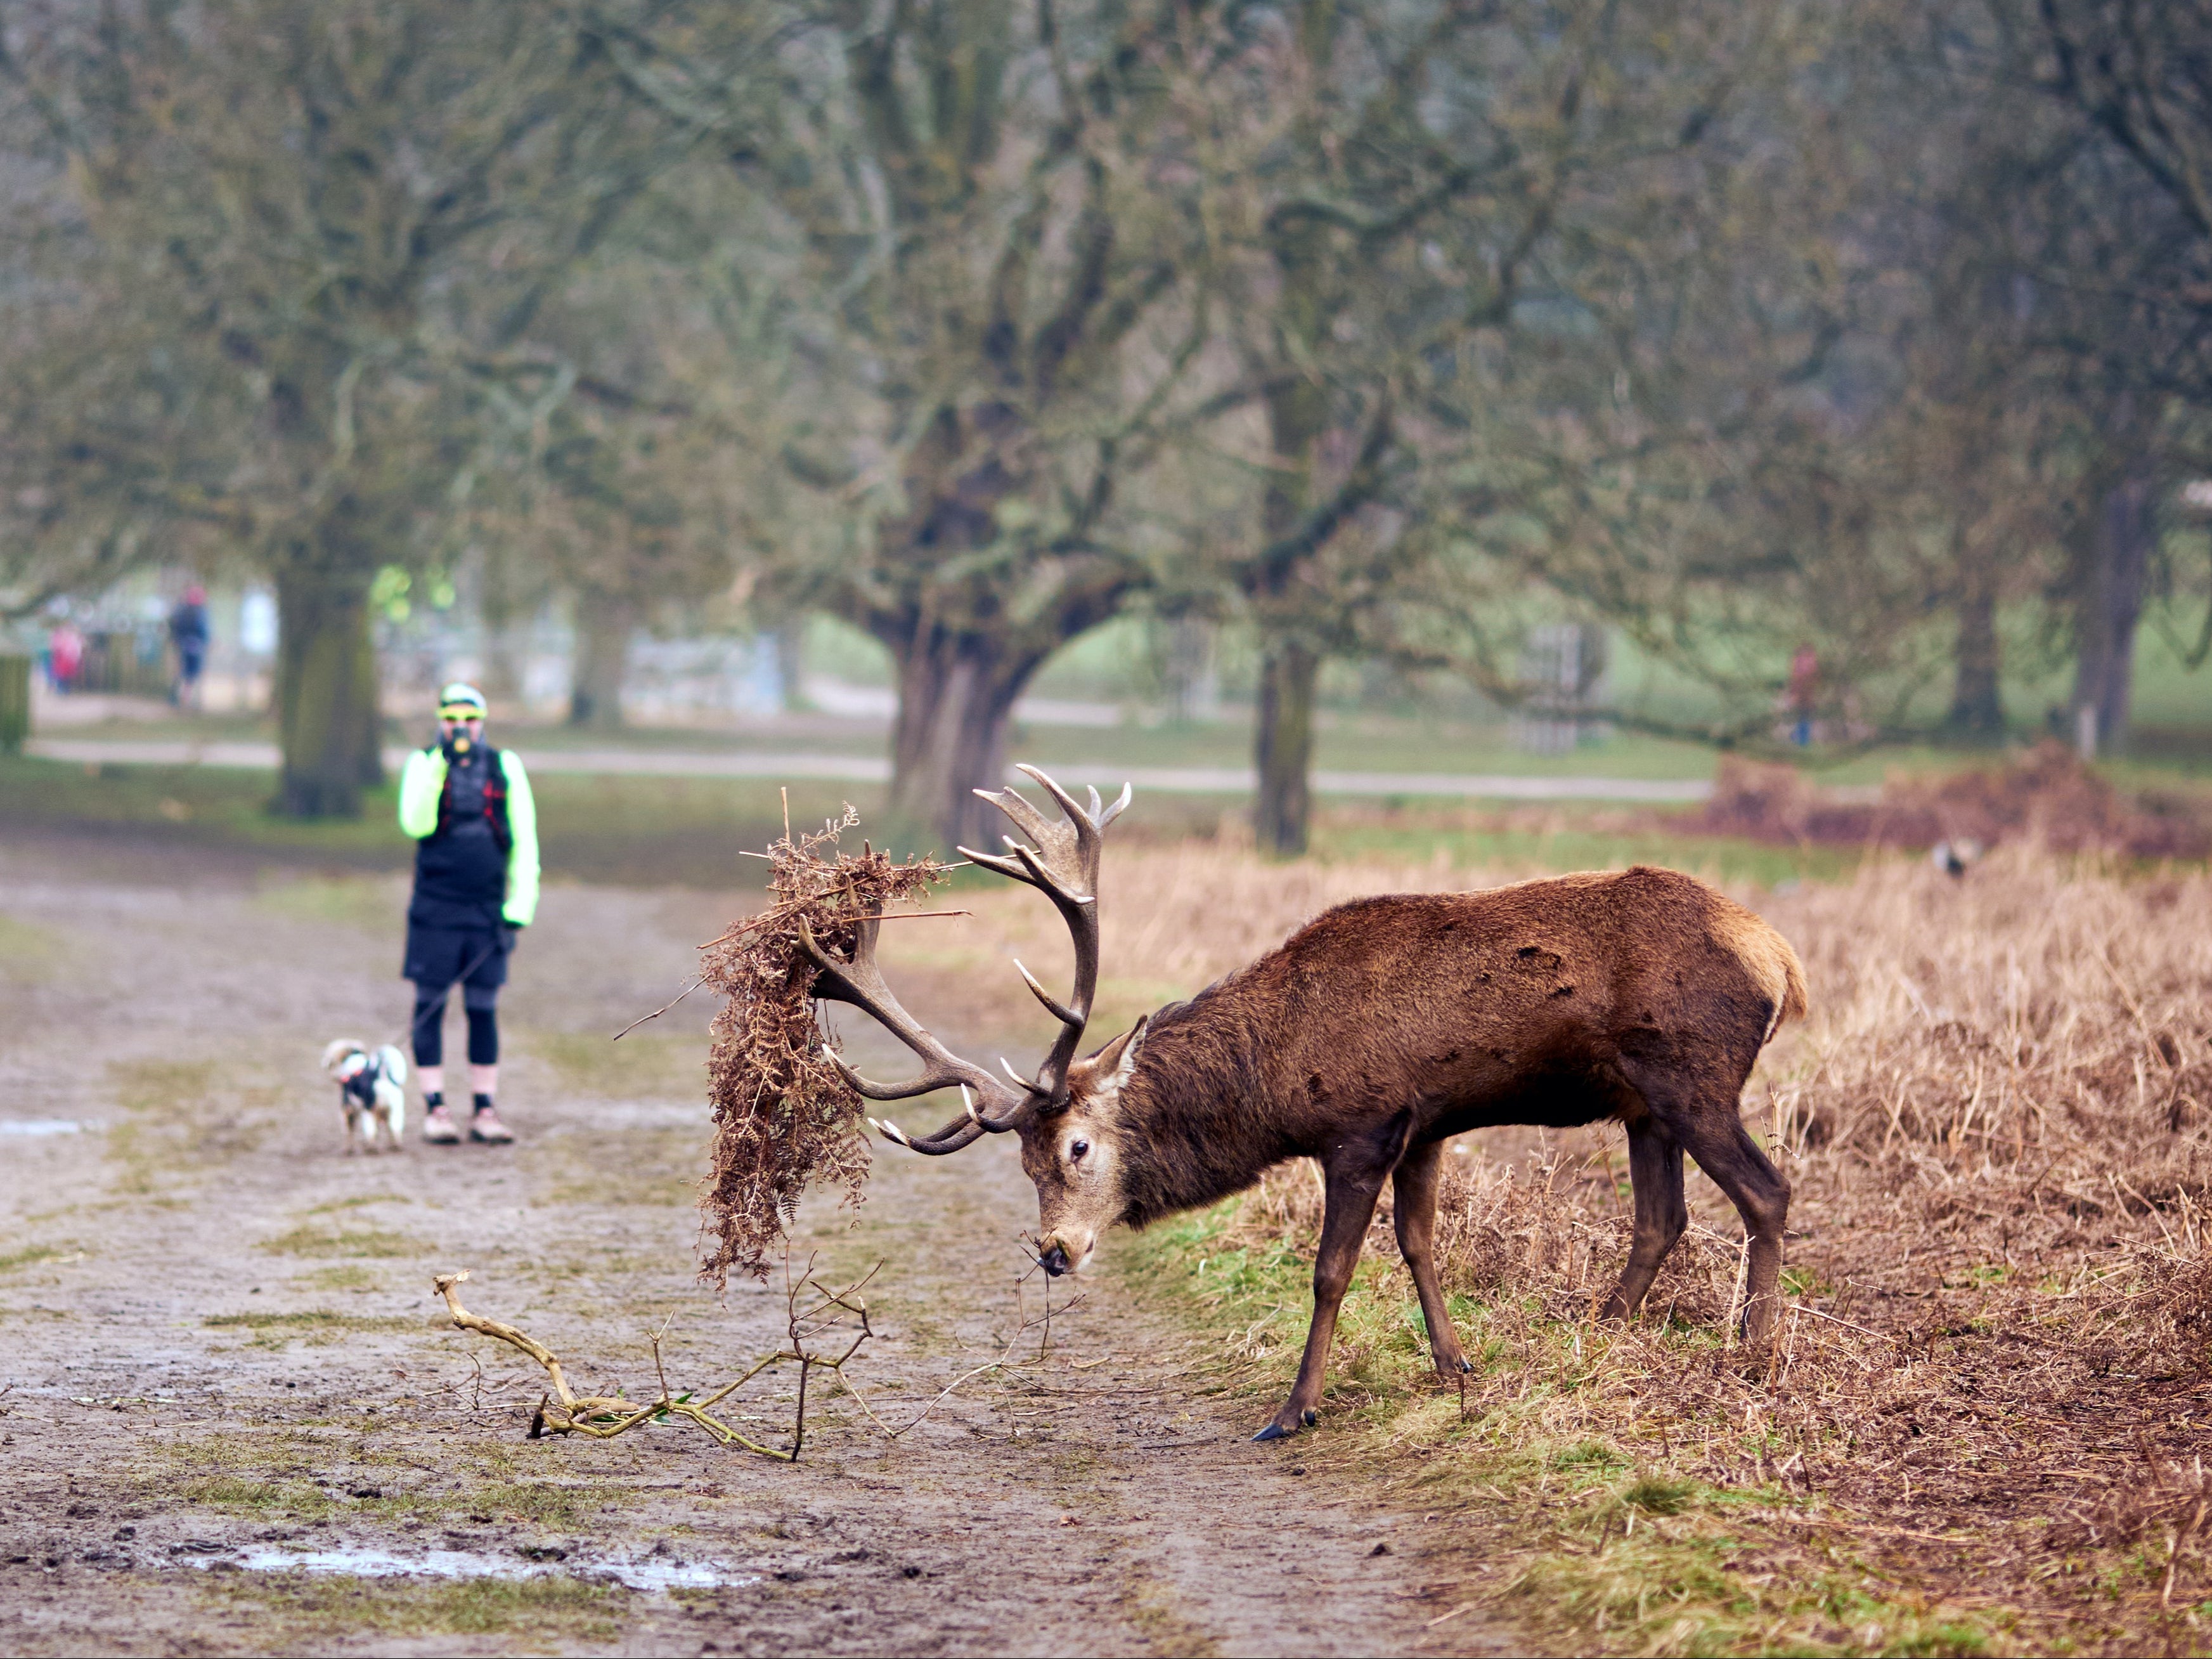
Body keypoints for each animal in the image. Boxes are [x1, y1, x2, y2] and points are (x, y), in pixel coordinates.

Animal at [320, 1039, 406, 1159]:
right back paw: (395, 1147)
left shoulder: (349, 1109)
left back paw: (372, 1149)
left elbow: (348, 1131)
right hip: (396, 1109)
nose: (324, 1063)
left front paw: (348, 1150)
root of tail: (381, 1074)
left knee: (371, 1132)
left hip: (369, 1111)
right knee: (395, 1128)